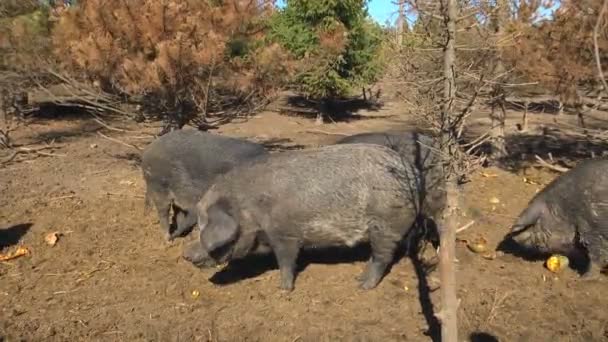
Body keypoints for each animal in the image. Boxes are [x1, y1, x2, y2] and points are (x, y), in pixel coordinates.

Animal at [183, 143, 444, 290]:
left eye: (205, 226)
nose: (185, 254)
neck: (250, 208)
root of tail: (415, 174)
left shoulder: (285, 234)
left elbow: (286, 261)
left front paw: (284, 289)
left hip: (386, 224)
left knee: (382, 256)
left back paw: (361, 285)